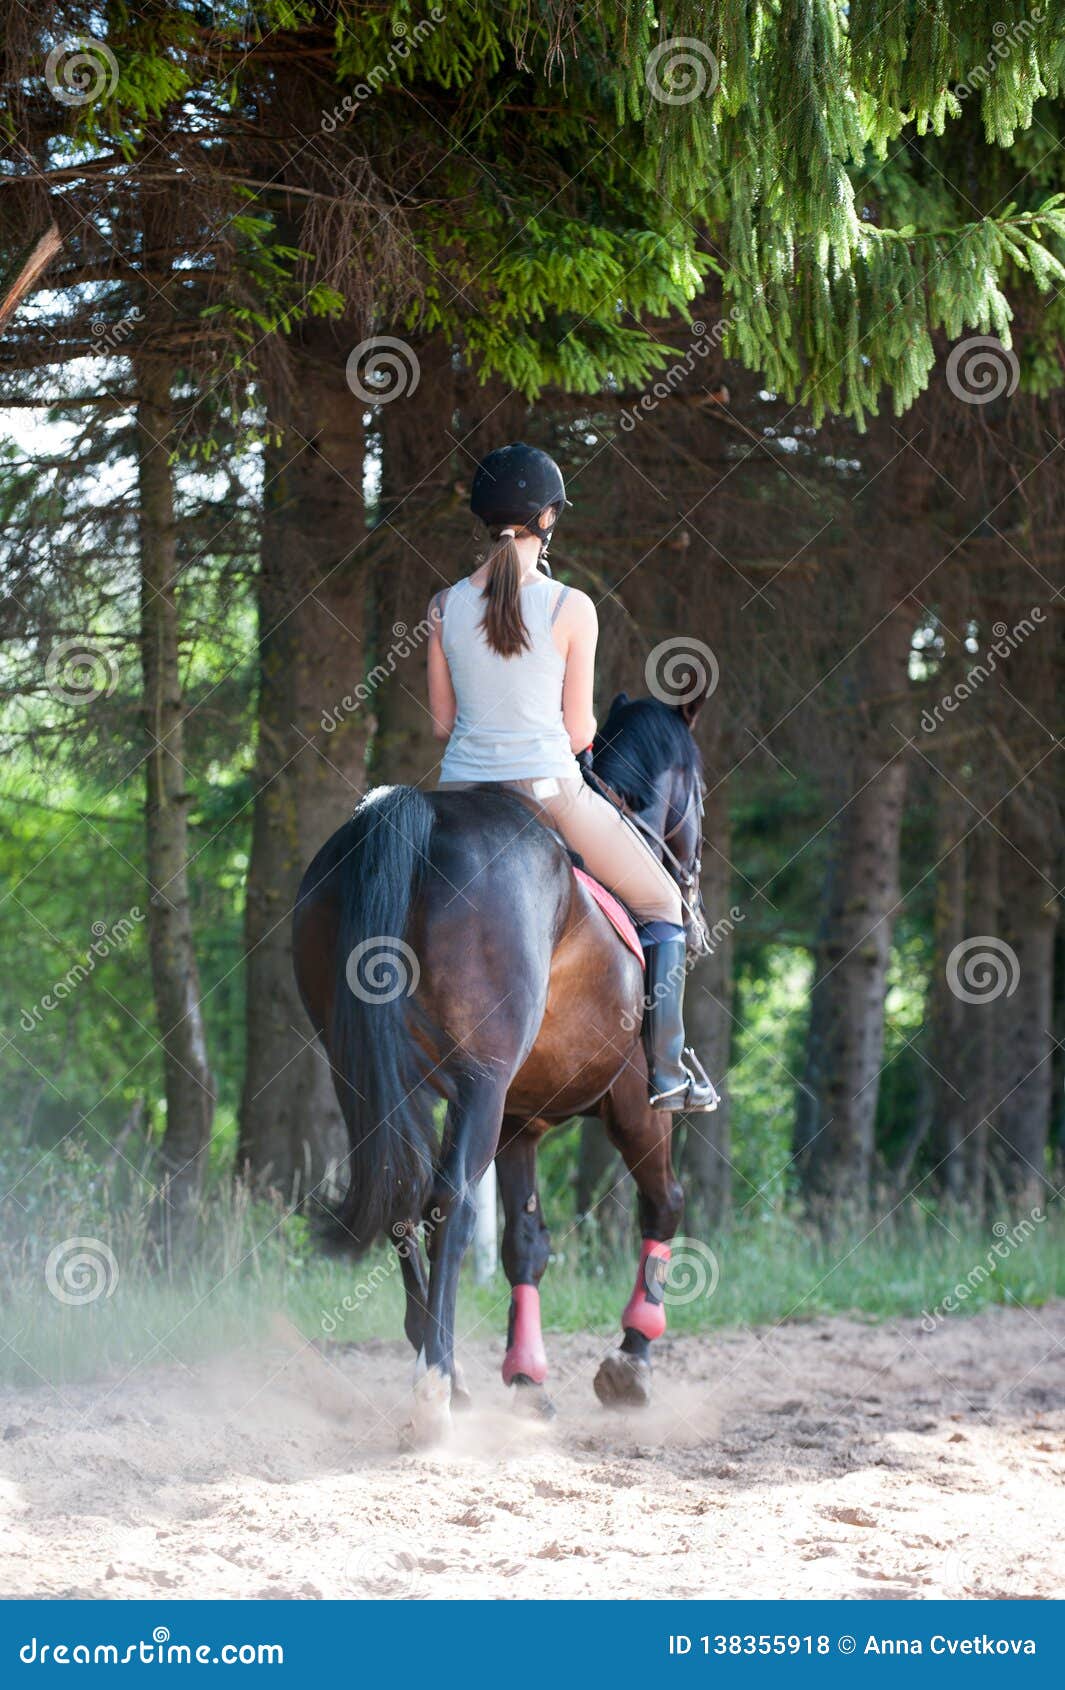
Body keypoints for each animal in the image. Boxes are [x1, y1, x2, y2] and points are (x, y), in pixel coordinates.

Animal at [287, 679, 713, 1446]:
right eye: (701, 791)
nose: (692, 900)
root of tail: (417, 814)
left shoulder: (521, 1122)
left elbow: (524, 1244)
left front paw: (526, 1378)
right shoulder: (634, 1103)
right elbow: (664, 1204)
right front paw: (631, 1358)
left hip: (369, 1079)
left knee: (403, 1198)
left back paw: (448, 1375)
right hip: (482, 1088)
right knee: (447, 1203)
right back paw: (433, 1391)